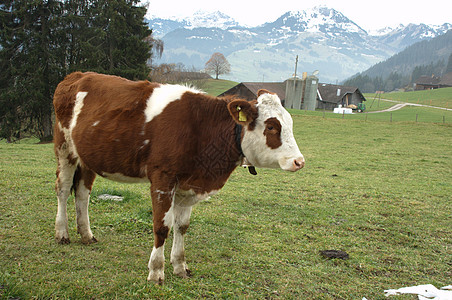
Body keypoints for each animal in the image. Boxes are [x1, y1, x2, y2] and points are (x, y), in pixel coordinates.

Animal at [54, 71, 306, 282]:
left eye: (291, 123)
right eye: (271, 127)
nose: (299, 161)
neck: (201, 129)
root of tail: (78, 75)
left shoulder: (189, 186)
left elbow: (181, 226)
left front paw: (179, 266)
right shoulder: (162, 179)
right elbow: (161, 226)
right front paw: (156, 271)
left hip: (87, 157)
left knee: (83, 193)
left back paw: (86, 234)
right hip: (64, 148)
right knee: (63, 189)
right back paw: (62, 233)